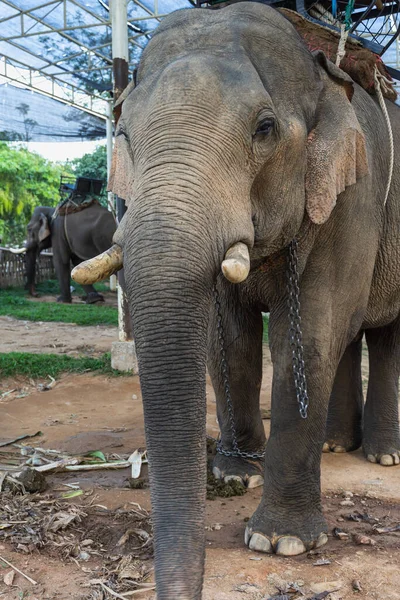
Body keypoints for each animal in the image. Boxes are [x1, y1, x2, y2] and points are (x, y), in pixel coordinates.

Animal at [72, 3, 400, 596]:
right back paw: (336, 447)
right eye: (123, 132)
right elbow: (230, 337)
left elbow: (311, 333)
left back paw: (383, 457)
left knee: (381, 335)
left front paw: (281, 542)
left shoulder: (353, 197)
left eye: (264, 128)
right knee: (352, 336)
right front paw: (234, 474)